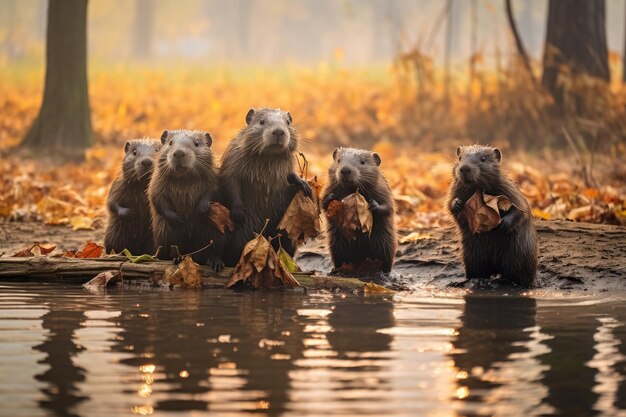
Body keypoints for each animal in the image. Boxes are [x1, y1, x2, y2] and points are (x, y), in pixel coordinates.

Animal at [147, 128, 223, 270]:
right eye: (170, 142)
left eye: (197, 143)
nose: (178, 153)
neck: (184, 179)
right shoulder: (157, 181)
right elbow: (157, 198)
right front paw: (178, 218)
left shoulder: (213, 177)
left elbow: (213, 192)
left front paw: (199, 211)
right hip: (166, 232)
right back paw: (177, 258)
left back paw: (216, 263)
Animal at [218, 105, 310, 264]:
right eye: (261, 121)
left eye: (287, 122)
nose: (279, 131)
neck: (268, 159)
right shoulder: (233, 159)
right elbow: (230, 181)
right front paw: (239, 213)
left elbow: (290, 175)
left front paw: (305, 185)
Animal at [448, 144, 536, 286]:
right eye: (460, 157)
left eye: (483, 158)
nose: (464, 168)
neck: (477, 189)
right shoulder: (455, 189)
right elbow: (449, 206)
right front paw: (456, 203)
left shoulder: (510, 190)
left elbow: (521, 209)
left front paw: (503, 224)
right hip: (472, 256)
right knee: (477, 270)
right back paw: (472, 280)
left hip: (517, 256)